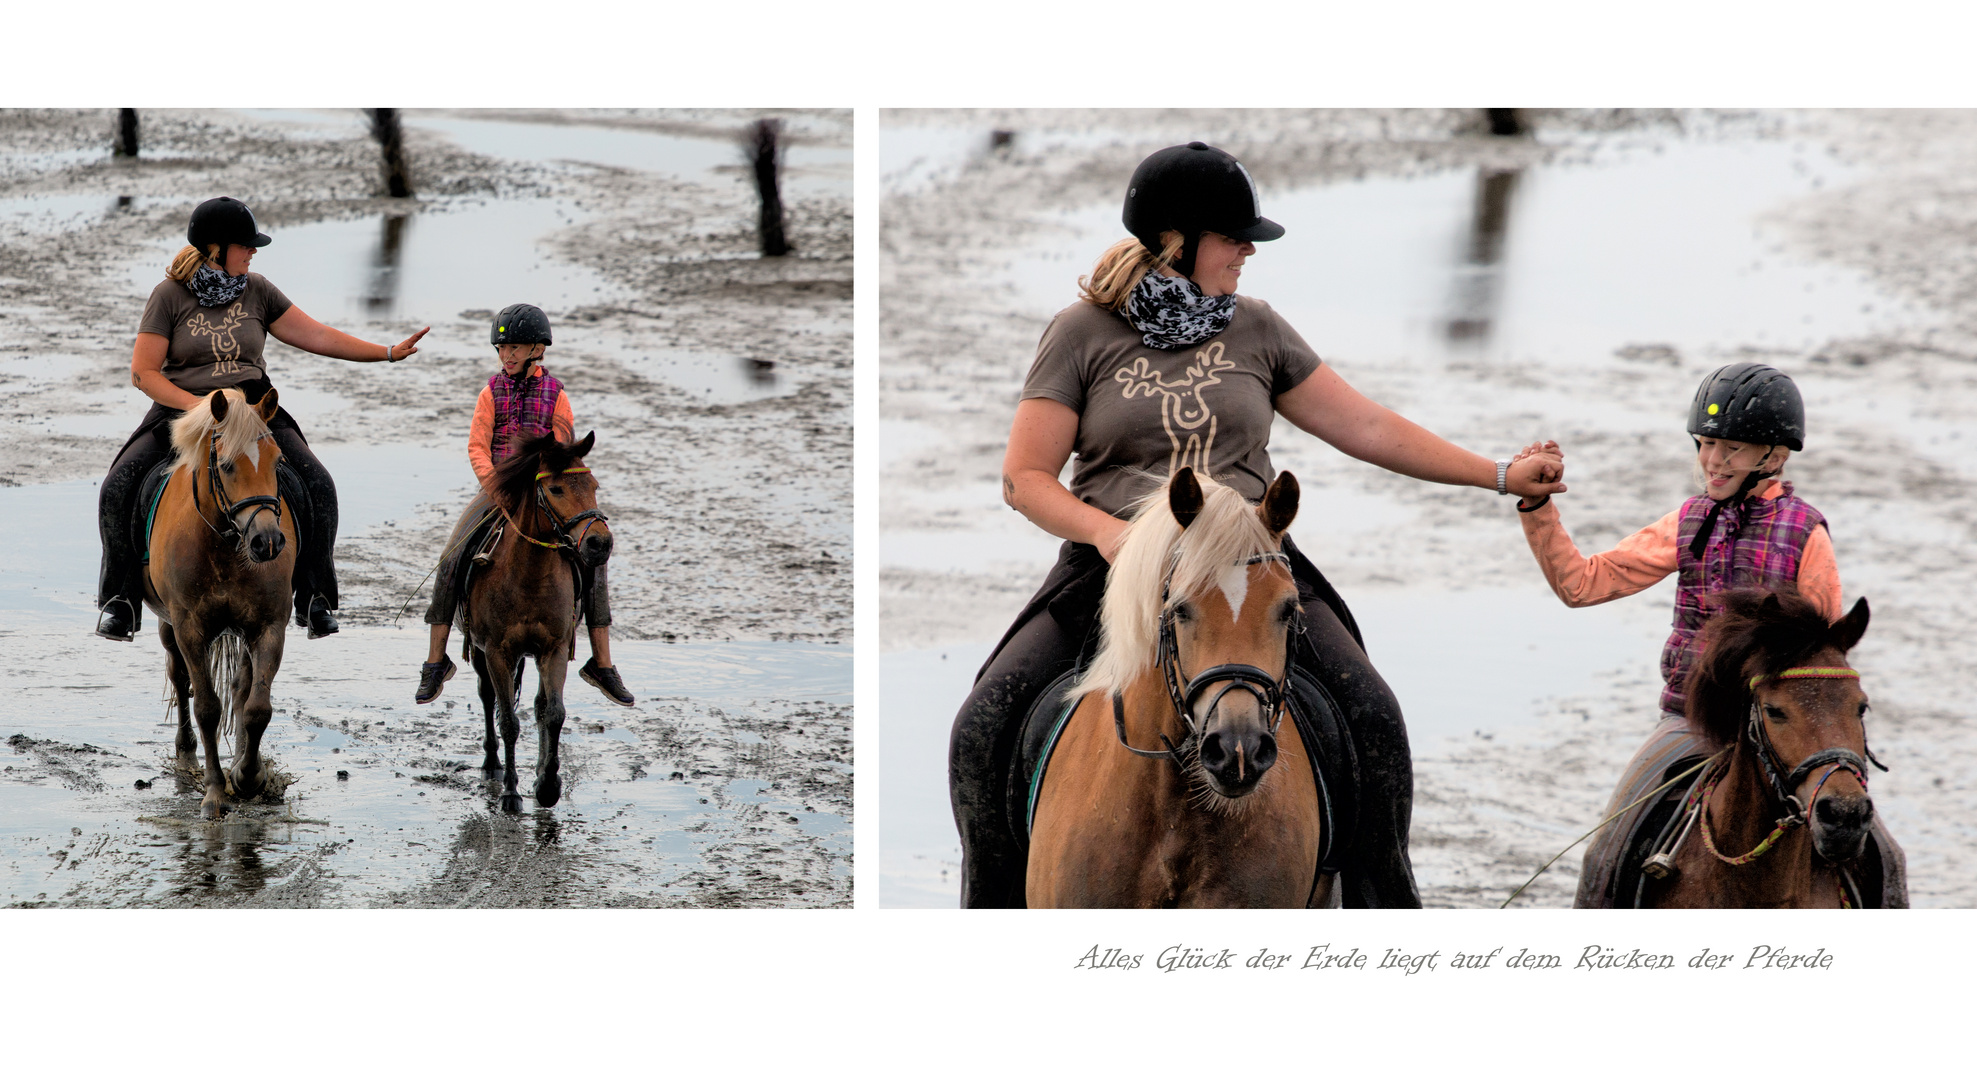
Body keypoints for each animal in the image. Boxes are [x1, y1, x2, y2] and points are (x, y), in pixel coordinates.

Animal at [144, 387, 294, 814]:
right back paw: (186, 753)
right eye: (226, 466)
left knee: (242, 687)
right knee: (180, 678)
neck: (225, 548)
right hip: (168, 625)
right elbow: (207, 708)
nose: (267, 542)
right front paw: (213, 792)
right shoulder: (189, 627)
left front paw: (248, 776)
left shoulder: (269, 626)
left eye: (278, 461)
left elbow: (257, 707)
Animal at [462, 429, 608, 807]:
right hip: (481, 652)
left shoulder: (553, 648)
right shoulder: (497, 652)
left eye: (594, 486)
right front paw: (511, 793)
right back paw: (491, 764)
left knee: (540, 704)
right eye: (555, 489)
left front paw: (548, 785)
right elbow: (509, 722)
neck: (529, 577)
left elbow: (553, 713)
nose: (600, 543)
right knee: (487, 697)